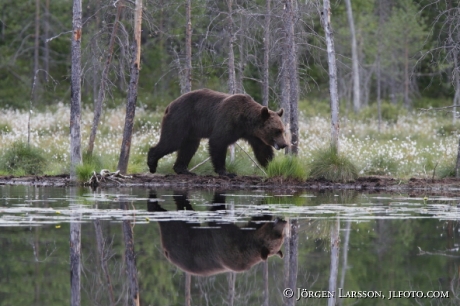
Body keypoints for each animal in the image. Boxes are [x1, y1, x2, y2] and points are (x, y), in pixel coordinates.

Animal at [146, 88, 288, 176]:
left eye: (283, 130)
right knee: (172, 140)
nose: (284, 144)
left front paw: (272, 166)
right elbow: (218, 142)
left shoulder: (253, 135)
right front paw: (226, 172)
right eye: (277, 131)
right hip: (181, 119)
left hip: (192, 130)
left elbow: (262, 150)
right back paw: (152, 164)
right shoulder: (227, 121)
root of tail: (169, 105)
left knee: (189, 147)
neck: (245, 122)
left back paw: (183, 169)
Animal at [147, 190, 286, 276]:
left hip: (180, 238)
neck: (246, 244)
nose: (283, 221)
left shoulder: (228, 245)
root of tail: (167, 253)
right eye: (279, 235)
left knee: (172, 220)